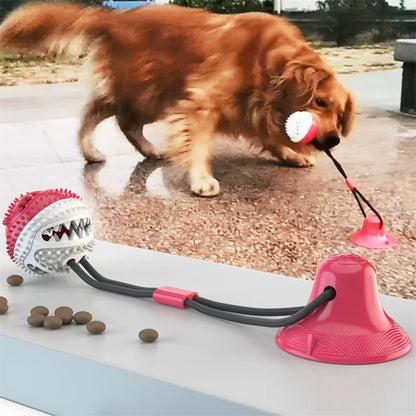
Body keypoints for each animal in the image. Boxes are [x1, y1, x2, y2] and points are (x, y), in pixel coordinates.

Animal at [0, 2, 354, 197]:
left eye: (339, 114)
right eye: (321, 103)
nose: (334, 140)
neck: (267, 62)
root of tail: (114, 17)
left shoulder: (250, 111)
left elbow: (269, 136)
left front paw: (290, 155)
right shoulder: (201, 102)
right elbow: (199, 145)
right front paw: (201, 179)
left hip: (150, 94)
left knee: (113, 114)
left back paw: (143, 150)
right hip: (150, 93)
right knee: (105, 113)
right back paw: (94, 150)